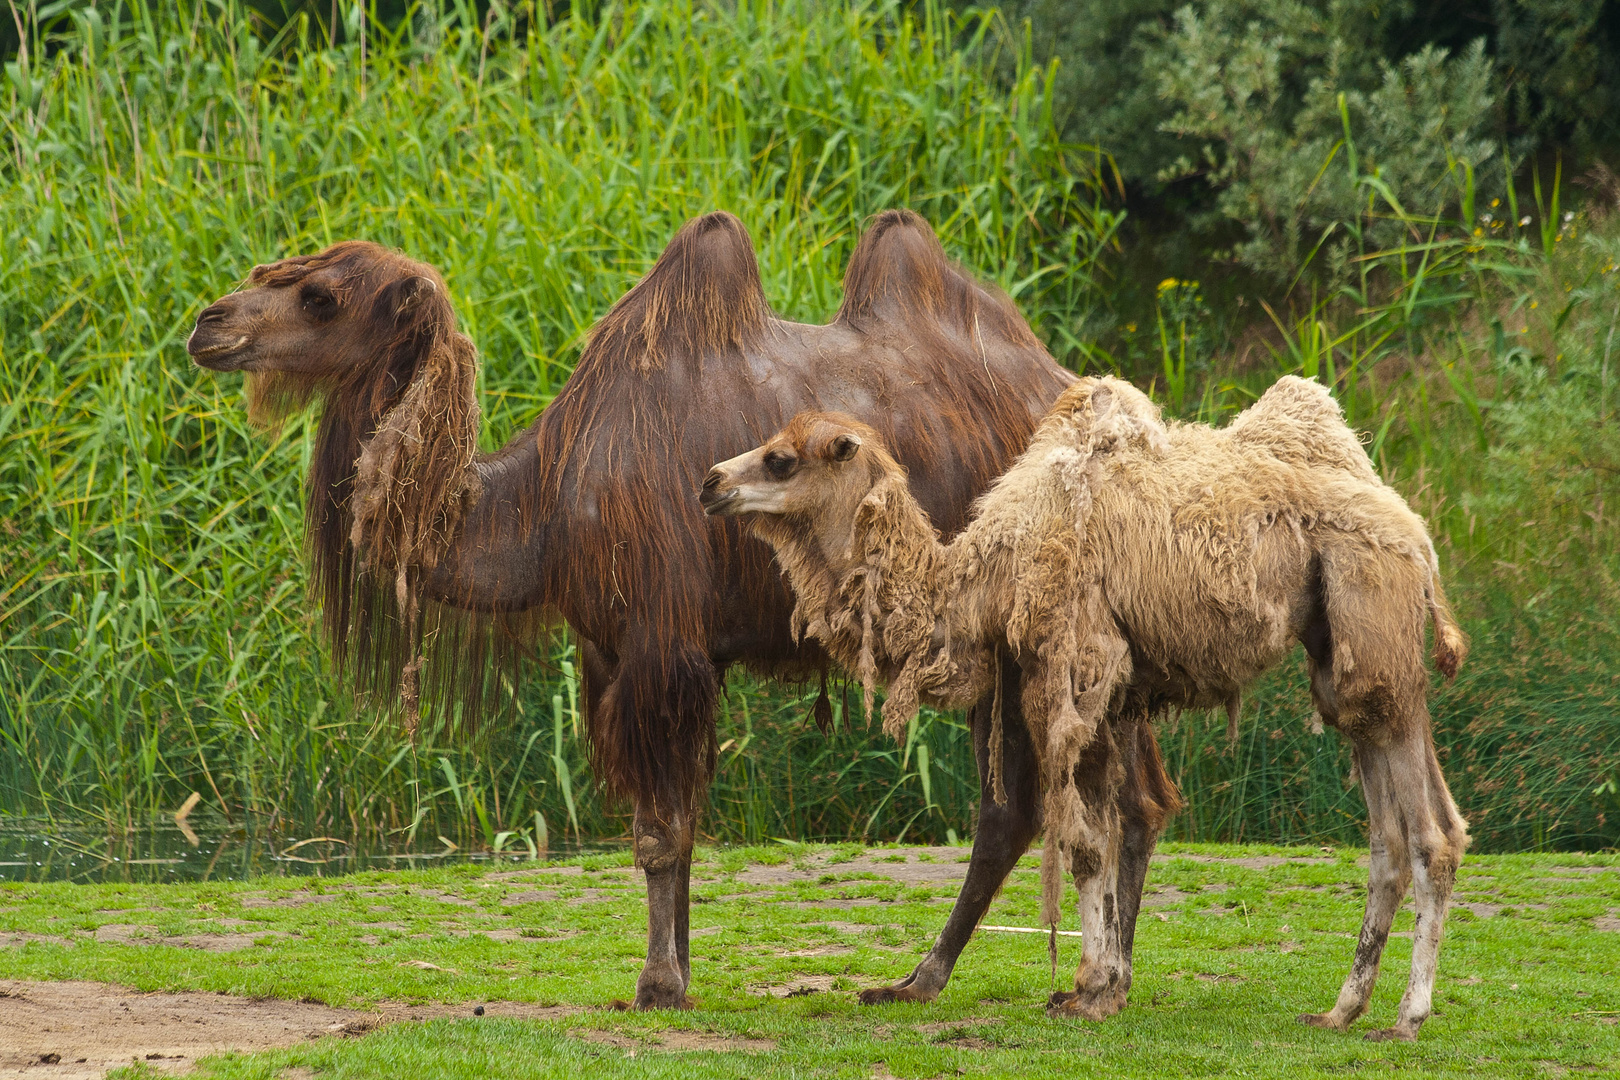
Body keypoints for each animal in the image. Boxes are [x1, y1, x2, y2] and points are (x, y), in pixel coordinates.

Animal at [186, 213, 1153, 1016]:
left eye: (320, 295)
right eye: (279, 267)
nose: (208, 324)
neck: (544, 506)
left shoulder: (661, 644)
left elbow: (659, 831)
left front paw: (656, 985)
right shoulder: (611, 652)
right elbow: (676, 827)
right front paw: (678, 971)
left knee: (1079, 802)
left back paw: (1050, 981)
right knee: (1093, 803)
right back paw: (1010, 977)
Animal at [703, 375, 1477, 1042]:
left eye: (780, 459)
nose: (711, 482)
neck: (984, 576)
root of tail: (1420, 537)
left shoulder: (1075, 667)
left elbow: (1079, 842)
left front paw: (1093, 989)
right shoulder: (1104, 696)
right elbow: (1103, 834)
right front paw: (1093, 985)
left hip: (1373, 626)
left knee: (1431, 833)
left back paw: (1405, 1017)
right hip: (1342, 659)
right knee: (1387, 836)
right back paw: (1341, 1010)